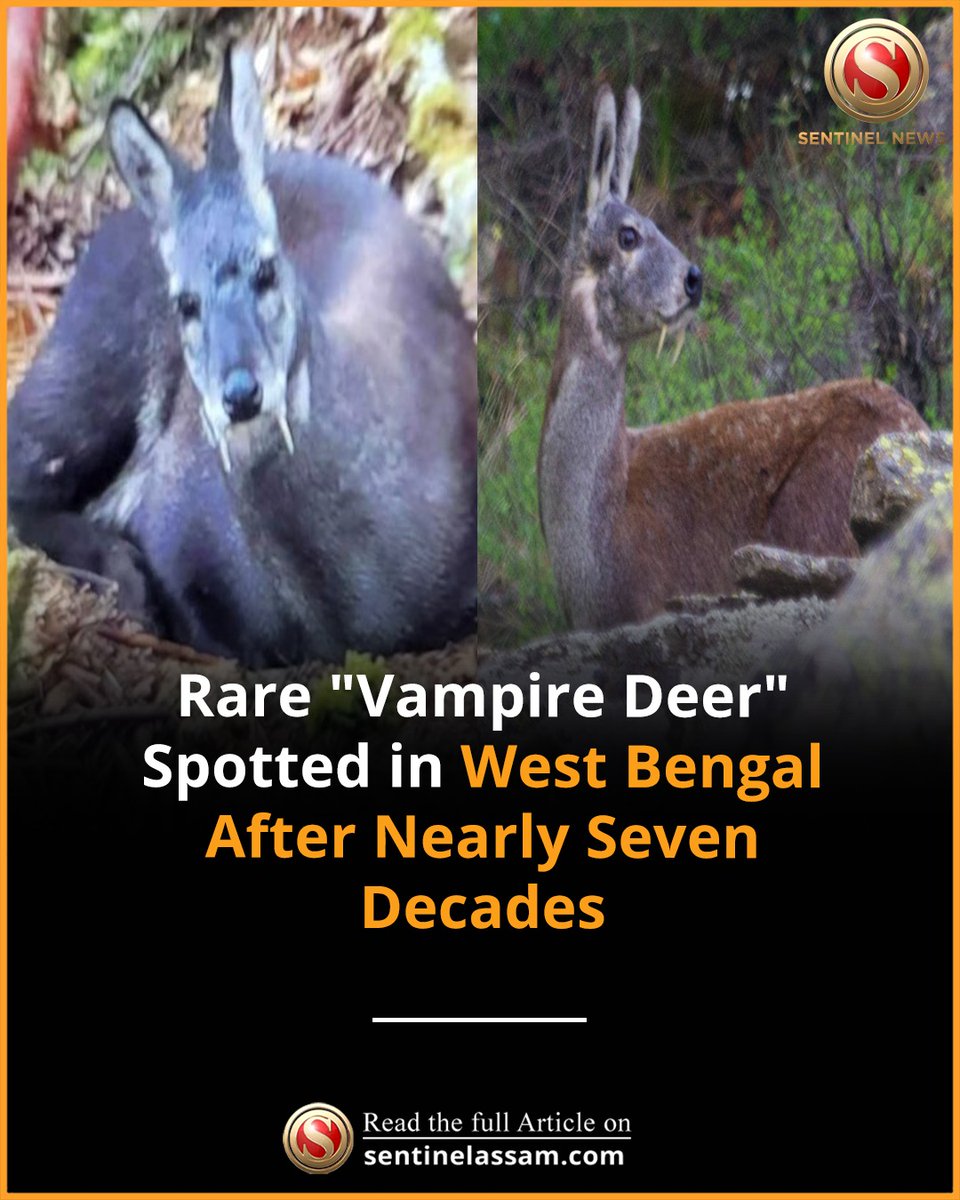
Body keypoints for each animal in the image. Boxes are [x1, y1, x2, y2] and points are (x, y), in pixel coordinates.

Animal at [8, 45, 477, 668]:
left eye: (266, 269)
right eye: (184, 302)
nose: (240, 393)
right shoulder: (175, 516)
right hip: (89, 364)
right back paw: (121, 571)